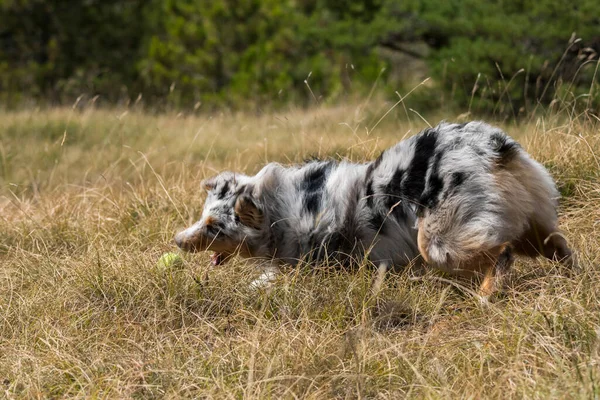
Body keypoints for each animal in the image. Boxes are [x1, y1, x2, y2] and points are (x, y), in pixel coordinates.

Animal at [175, 122, 576, 296]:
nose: (177, 240)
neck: (281, 208)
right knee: (560, 247)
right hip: (535, 221)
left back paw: (487, 293)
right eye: (202, 217)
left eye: (213, 227)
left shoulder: (317, 258)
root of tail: (494, 146)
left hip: (438, 241)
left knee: (502, 252)